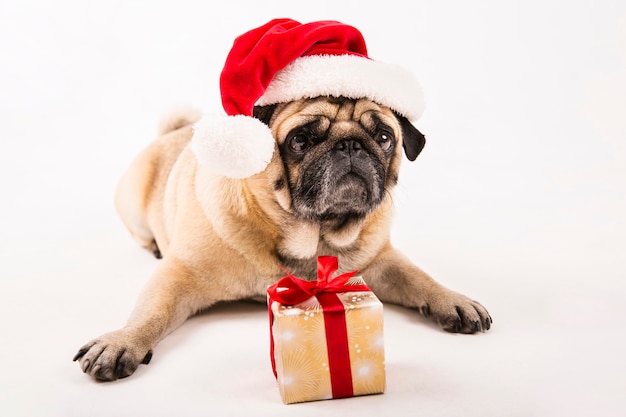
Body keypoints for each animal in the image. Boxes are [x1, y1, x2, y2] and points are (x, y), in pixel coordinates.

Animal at [73, 96, 490, 380]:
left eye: (384, 137)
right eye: (299, 141)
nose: (351, 144)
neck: (314, 234)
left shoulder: (380, 261)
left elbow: (419, 277)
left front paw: (453, 301)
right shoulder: (181, 273)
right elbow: (151, 312)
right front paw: (122, 341)